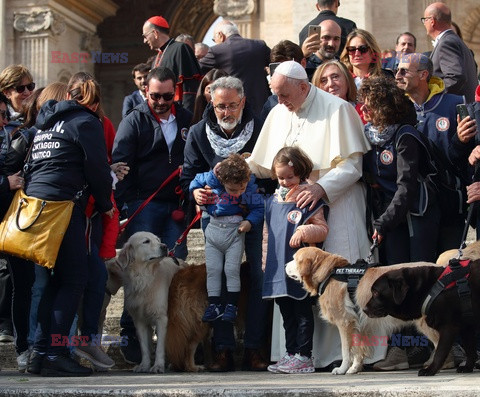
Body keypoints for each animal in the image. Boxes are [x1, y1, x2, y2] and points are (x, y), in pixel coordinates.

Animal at [286, 248, 440, 374]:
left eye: (294, 259)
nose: (285, 265)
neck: (329, 274)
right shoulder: (357, 324)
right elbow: (357, 350)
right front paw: (354, 368)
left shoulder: (345, 322)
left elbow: (346, 351)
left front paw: (342, 369)